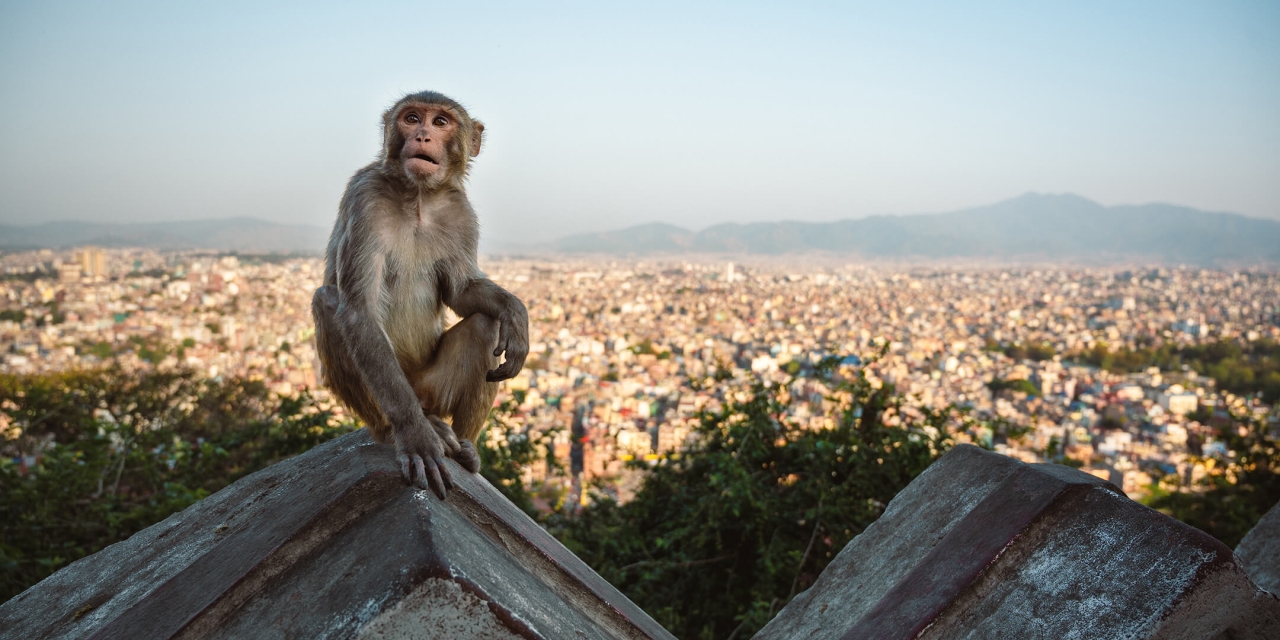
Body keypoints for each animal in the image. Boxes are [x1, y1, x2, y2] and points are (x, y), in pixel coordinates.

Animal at [311, 91, 528, 499]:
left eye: (440, 122)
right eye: (412, 118)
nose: (423, 135)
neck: (419, 198)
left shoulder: (463, 214)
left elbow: (462, 293)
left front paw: (515, 312)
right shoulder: (364, 196)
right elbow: (359, 309)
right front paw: (414, 436)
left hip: (433, 387)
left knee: (484, 326)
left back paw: (465, 446)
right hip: (396, 389)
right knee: (329, 301)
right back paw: (401, 429)